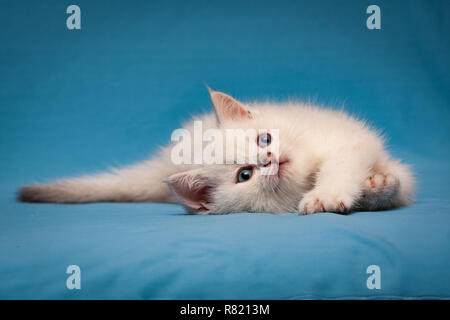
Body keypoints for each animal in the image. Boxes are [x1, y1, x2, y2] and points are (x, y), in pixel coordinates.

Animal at [20, 88, 414, 215]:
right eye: (245, 175)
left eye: (264, 140)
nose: (269, 159)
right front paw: (330, 195)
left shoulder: (344, 136)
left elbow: (380, 172)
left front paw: (376, 186)